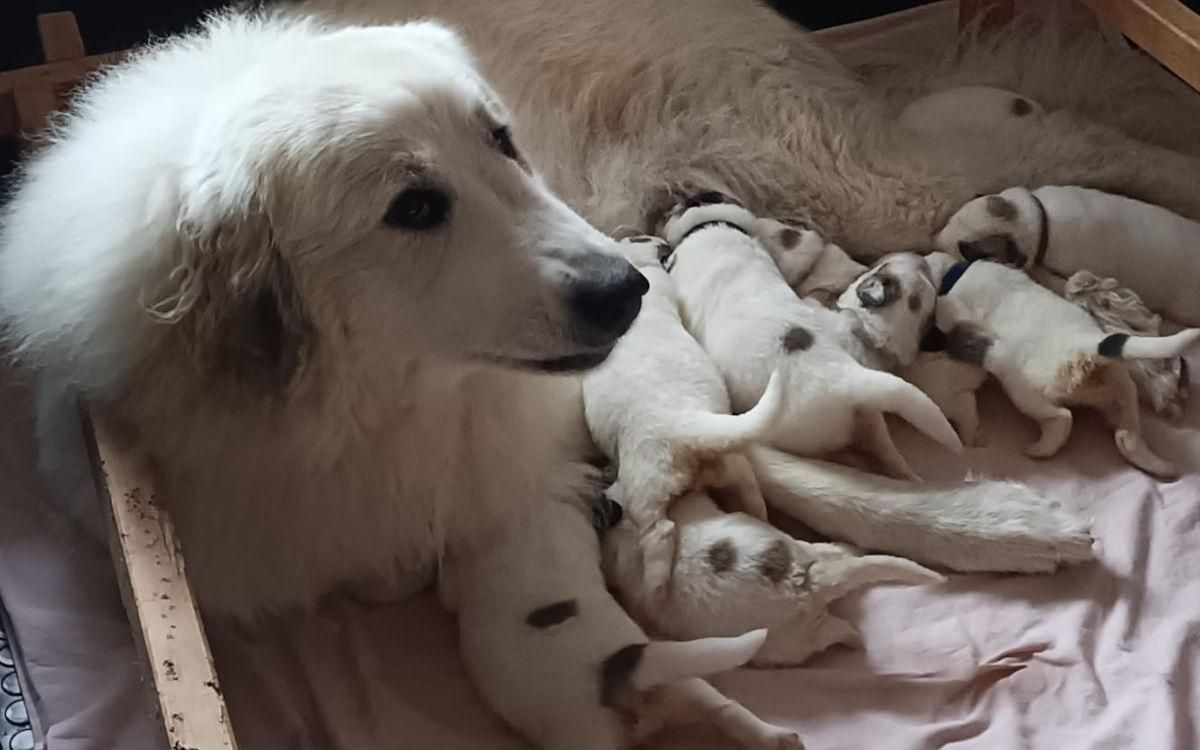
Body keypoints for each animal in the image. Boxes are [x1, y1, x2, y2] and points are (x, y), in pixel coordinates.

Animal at [583, 231, 787, 592]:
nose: (660, 240)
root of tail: (689, 427)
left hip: (644, 485)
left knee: (660, 532)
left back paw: (655, 589)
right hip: (734, 467)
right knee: (753, 496)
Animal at [936, 256, 1200, 477]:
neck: (955, 272)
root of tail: (1090, 351)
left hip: (1026, 392)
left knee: (1062, 418)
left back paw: (1039, 449)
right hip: (1123, 387)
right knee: (1128, 433)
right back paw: (1158, 465)